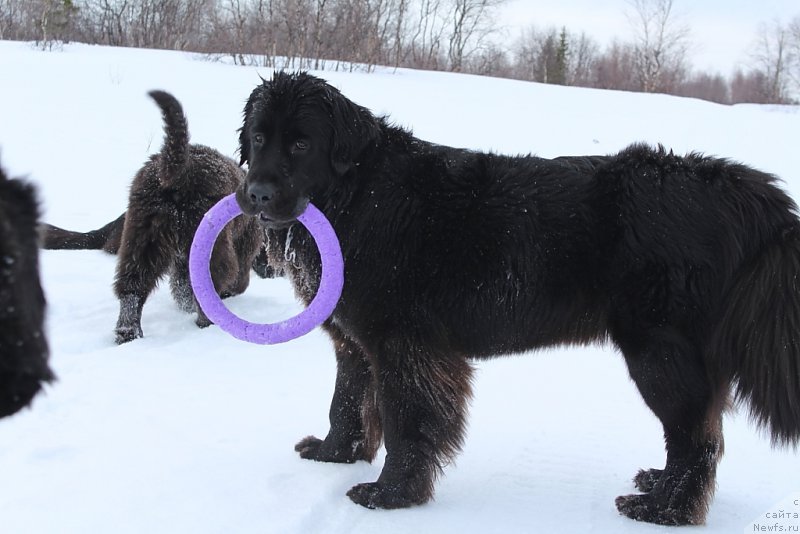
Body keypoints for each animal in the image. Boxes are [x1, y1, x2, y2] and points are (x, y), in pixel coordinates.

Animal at [39, 90, 264, 346]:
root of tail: (180, 170)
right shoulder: (243, 243)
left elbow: (181, 285)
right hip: (203, 243)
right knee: (207, 285)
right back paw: (207, 324)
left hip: (143, 234)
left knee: (132, 287)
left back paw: (129, 333)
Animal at [236, 73, 800, 528]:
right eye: (259, 138)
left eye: (302, 144)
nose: (256, 193)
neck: (357, 196)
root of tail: (739, 187)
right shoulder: (354, 341)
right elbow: (347, 403)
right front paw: (334, 455)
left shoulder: (406, 345)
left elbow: (405, 423)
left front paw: (389, 495)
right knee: (696, 435)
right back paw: (658, 487)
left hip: (660, 352)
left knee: (695, 439)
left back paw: (665, 510)